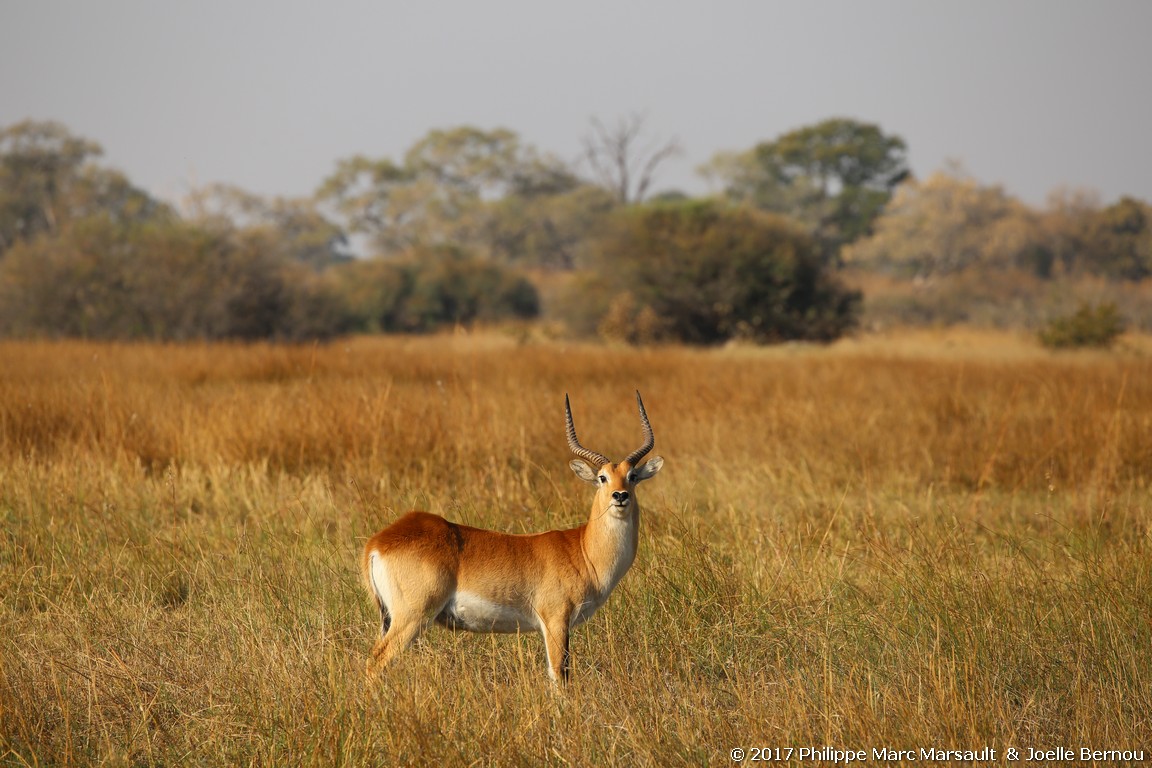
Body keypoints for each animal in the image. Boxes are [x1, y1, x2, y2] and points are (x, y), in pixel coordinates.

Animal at [359, 393, 668, 681]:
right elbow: (559, 674)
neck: (582, 550)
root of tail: (378, 542)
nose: (620, 496)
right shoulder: (555, 620)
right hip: (412, 618)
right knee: (375, 662)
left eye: (632, 476)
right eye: (602, 477)